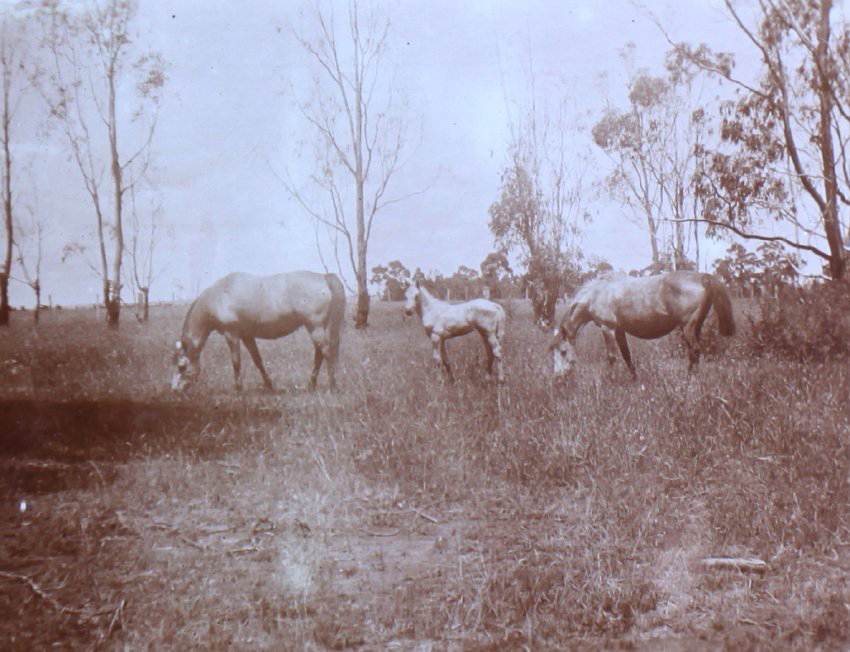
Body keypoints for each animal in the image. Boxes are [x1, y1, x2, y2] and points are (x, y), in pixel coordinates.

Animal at [171, 271, 345, 392]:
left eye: (181, 367)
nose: (174, 390)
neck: (219, 296)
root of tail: (324, 277)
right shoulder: (247, 336)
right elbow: (258, 361)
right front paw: (269, 385)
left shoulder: (231, 334)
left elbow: (236, 362)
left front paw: (237, 389)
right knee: (319, 355)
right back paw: (311, 385)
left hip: (315, 328)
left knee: (326, 352)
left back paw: (332, 386)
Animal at [549, 270, 736, 378]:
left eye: (563, 352)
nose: (558, 378)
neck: (598, 293)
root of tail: (702, 277)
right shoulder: (619, 330)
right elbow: (626, 355)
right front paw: (635, 380)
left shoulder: (607, 329)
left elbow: (611, 357)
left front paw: (607, 382)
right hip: (696, 326)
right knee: (694, 352)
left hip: (687, 327)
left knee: (694, 351)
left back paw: (689, 378)